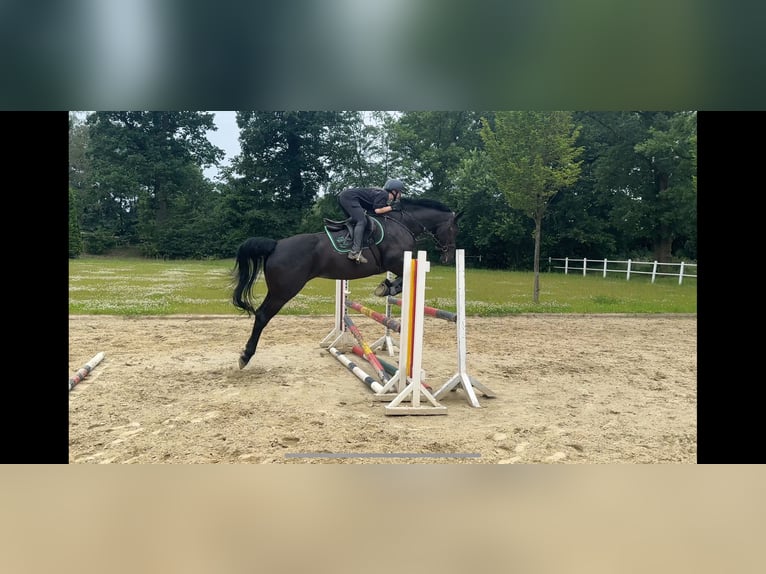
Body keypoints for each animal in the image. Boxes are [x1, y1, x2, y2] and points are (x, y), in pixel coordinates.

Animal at [234, 198, 462, 368]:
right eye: (453, 229)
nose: (448, 257)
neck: (402, 224)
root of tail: (276, 245)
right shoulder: (396, 262)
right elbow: (401, 280)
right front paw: (387, 287)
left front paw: (386, 287)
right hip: (283, 291)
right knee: (262, 315)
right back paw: (245, 356)